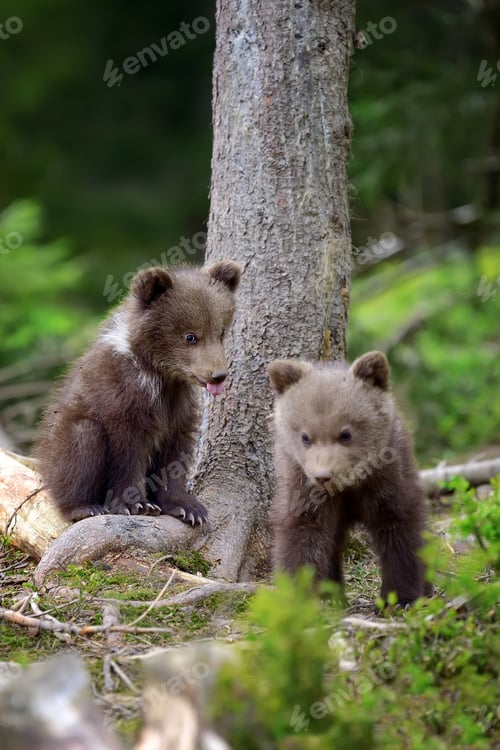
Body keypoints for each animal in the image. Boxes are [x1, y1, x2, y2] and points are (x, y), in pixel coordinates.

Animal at [36, 260, 242, 525]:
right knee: (81, 442)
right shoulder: (123, 398)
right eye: (190, 336)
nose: (218, 375)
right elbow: (126, 453)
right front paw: (138, 504)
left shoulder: (177, 407)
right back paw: (83, 506)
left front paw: (189, 508)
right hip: (64, 437)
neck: (160, 376)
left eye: (221, 332)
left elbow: (175, 455)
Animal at [268, 351, 429, 606]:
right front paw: (301, 596)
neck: (347, 487)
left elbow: (400, 529)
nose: (323, 476)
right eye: (305, 436)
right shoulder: (303, 487)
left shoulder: (386, 481)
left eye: (346, 434)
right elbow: (303, 536)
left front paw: (399, 598)